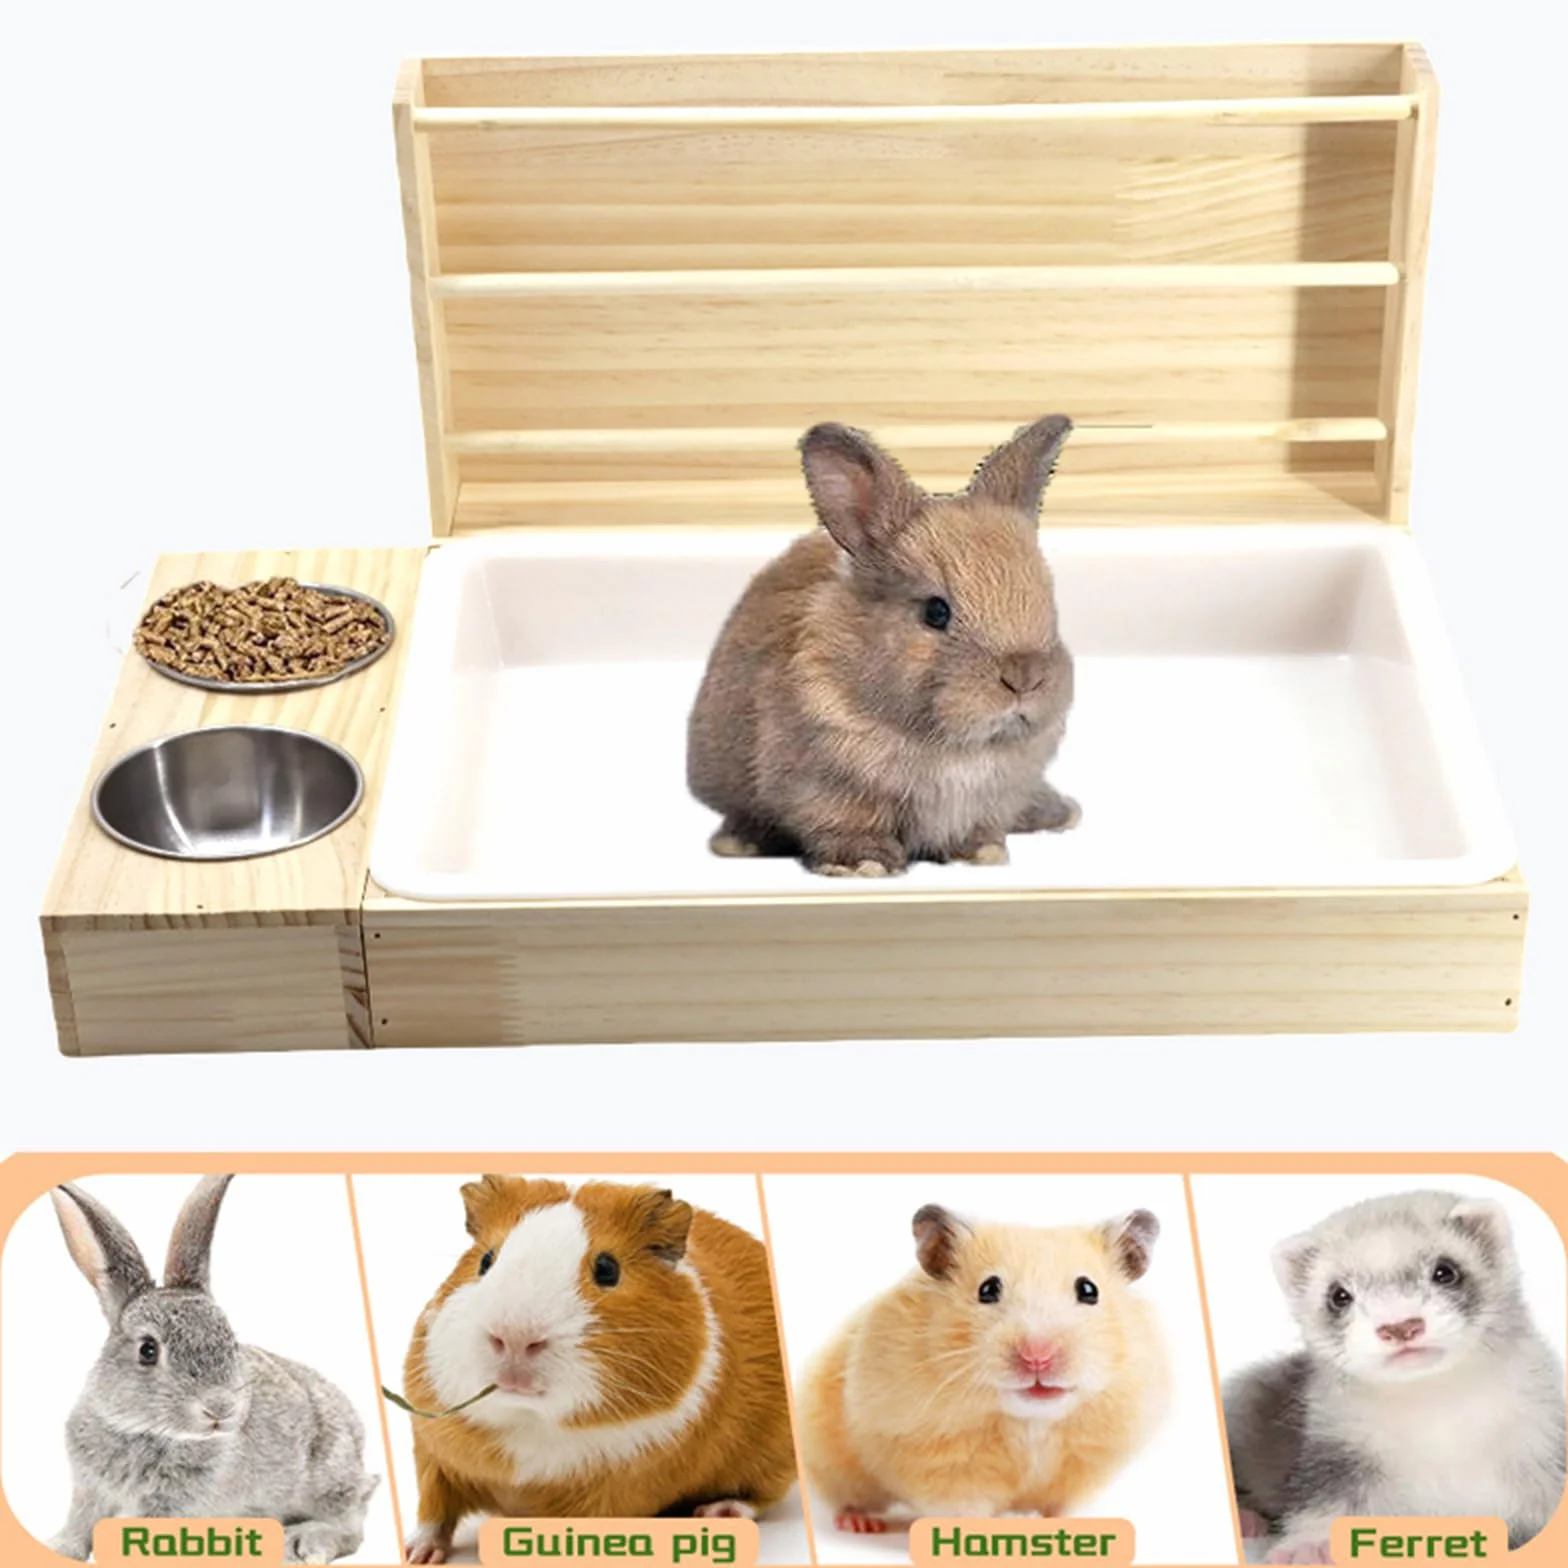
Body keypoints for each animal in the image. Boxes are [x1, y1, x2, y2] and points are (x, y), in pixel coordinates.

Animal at [46, 1176, 379, 1565]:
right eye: (147, 1350)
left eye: (230, 1343)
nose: (220, 1407)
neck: (144, 1431)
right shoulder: (89, 1489)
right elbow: (80, 1524)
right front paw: (59, 1548)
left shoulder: (172, 1505)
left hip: (329, 1477)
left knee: (350, 1530)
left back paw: (302, 1544)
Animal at [687, 416, 1079, 876]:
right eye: (935, 612)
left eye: (1047, 596)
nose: (1024, 678)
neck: (956, 747)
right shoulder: (828, 788)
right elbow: (847, 825)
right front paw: (865, 864)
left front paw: (982, 853)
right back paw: (739, 843)